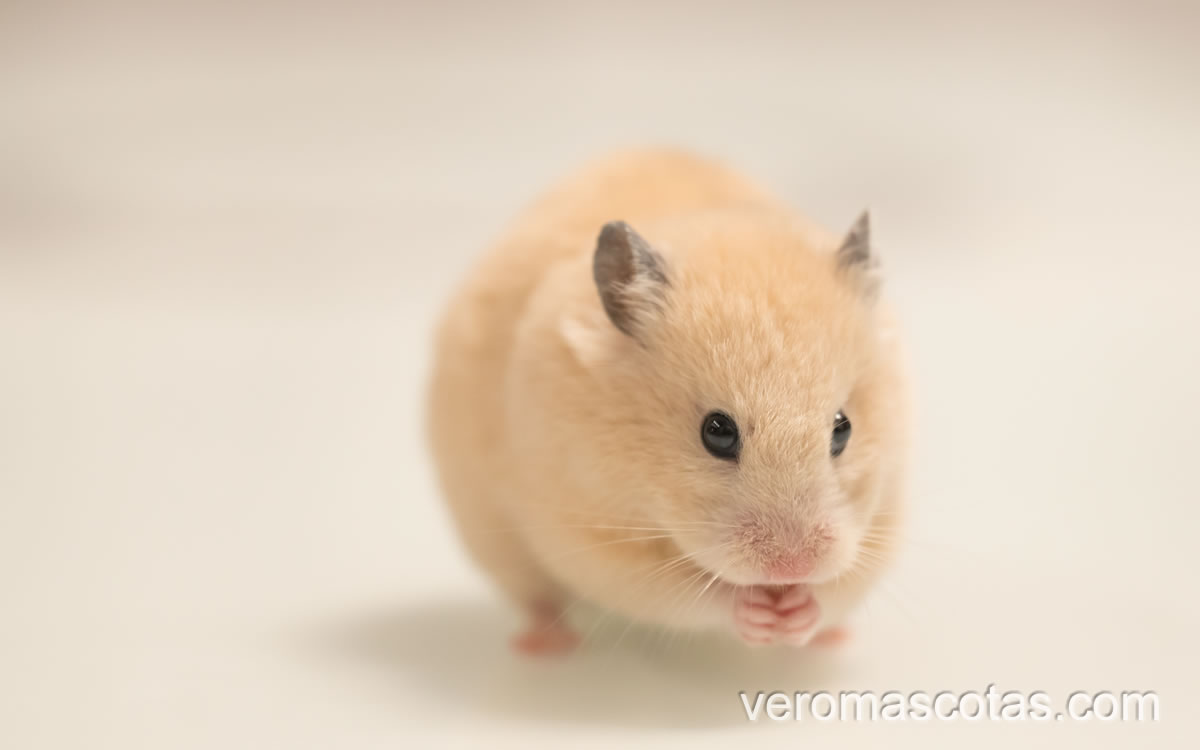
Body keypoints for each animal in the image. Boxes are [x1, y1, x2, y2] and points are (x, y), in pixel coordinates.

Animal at [427, 149, 908, 654]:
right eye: (716, 433)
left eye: (843, 428)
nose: (791, 569)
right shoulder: (590, 533)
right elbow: (684, 594)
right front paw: (758, 614)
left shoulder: (886, 514)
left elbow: (839, 586)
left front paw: (796, 616)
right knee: (535, 597)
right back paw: (545, 646)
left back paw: (831, 640)